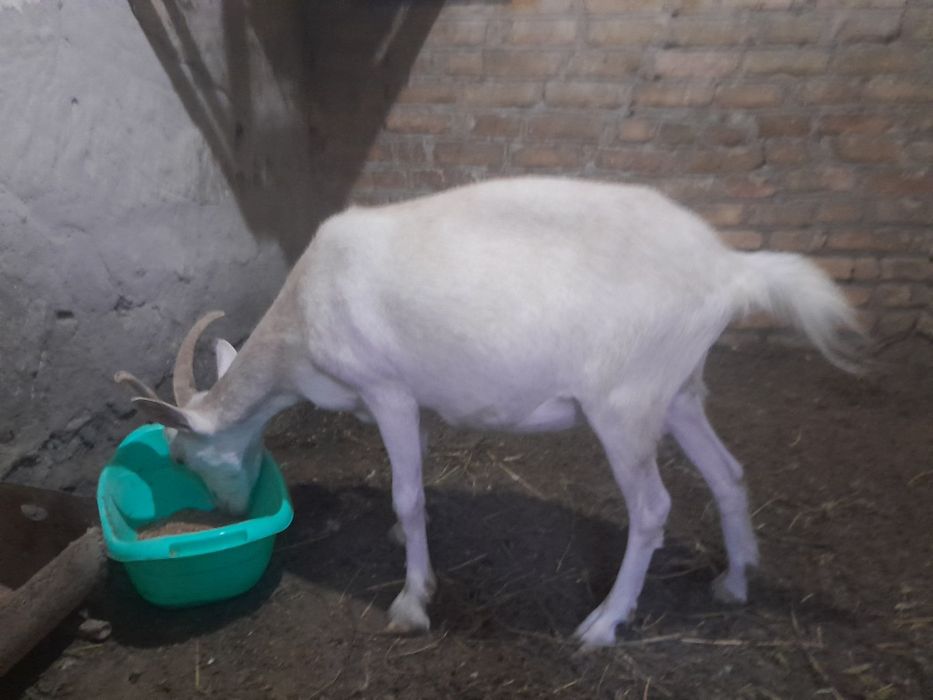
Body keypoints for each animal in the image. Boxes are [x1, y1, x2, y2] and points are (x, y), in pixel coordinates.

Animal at [115, 176, 861, 648]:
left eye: (182, 454)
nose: (230, 513)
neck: (303, 316)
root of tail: (730, 270)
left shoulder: (386, 388)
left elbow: (408, 491)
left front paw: (412, 600)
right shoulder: (413, 398)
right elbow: (416, 478)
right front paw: (402, 543)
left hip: (623, 402)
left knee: (652, 508)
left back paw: (603, 624)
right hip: (676, 389)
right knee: (727, 472)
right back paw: (733, 582)